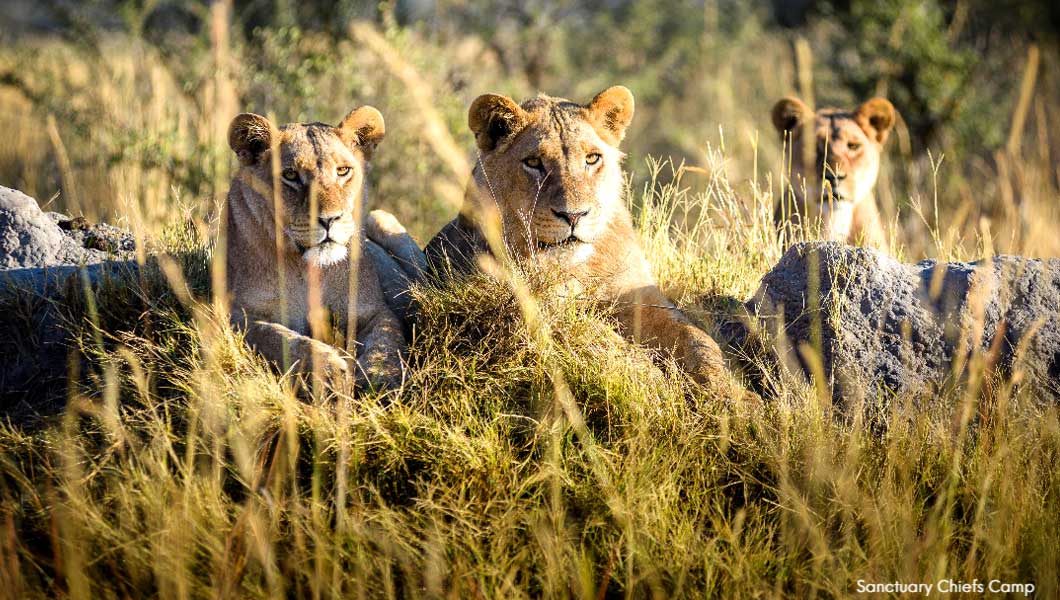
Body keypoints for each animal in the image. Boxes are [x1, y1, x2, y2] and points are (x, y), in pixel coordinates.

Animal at [223, 107, 404, 390]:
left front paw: (380, 378)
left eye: (343, 171)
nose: (329, 220)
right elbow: (282, 340)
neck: (309, 268)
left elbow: (386, 341)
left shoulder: (373, 310)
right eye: (290, 175)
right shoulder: (239, 316)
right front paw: (330, 373)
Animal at [421, 85, 737, 394]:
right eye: (533, 162)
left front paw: (731, 396)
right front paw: (652, 380)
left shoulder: (638, 297)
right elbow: (604, 337)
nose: (573, 216)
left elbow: (697, 339)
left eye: (592, 158)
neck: (578, 268)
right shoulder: (535, 305)